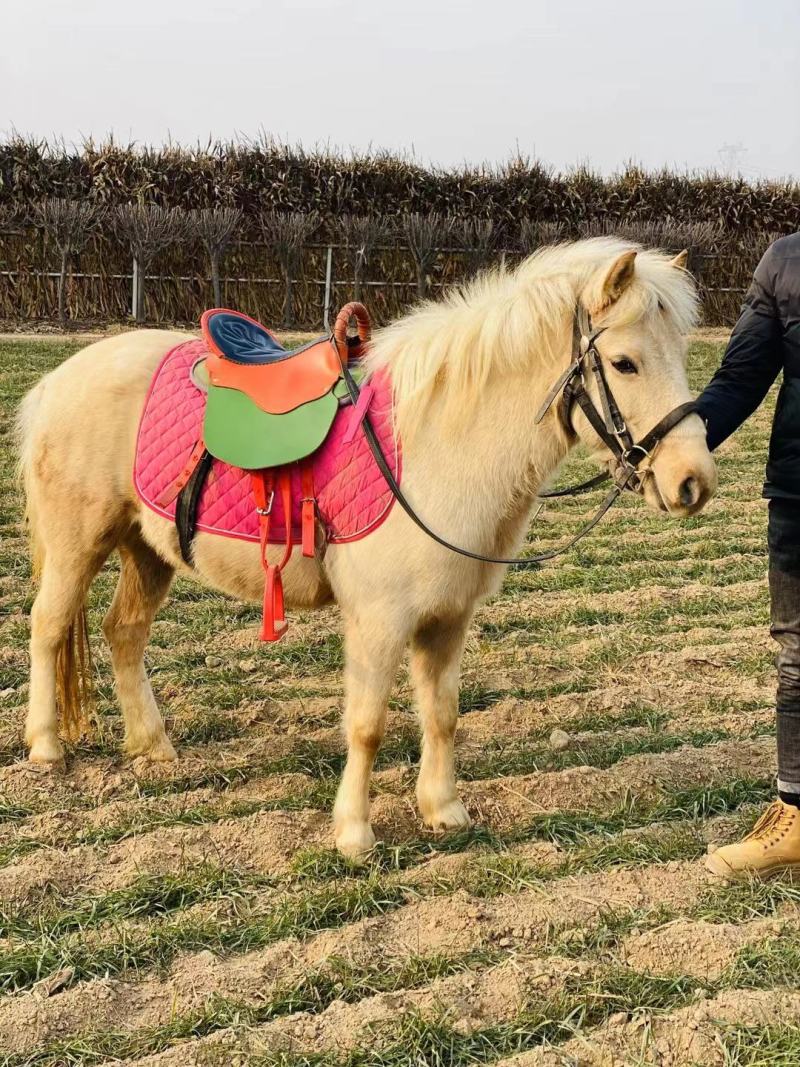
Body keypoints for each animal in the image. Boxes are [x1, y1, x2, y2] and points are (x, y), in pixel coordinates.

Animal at [15, 237, 717, 858]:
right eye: (624, 362)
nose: (693, 481)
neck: (434, 447)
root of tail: (55, 381)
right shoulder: (379, 620)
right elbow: (368, 724)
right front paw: (354, 834)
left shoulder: (447, 618)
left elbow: (442, 712)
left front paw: (444, 810)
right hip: (79, 543)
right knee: (48, 627)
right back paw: (46, 748)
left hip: (147, 549)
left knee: (124, 632)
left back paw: (152, 745)